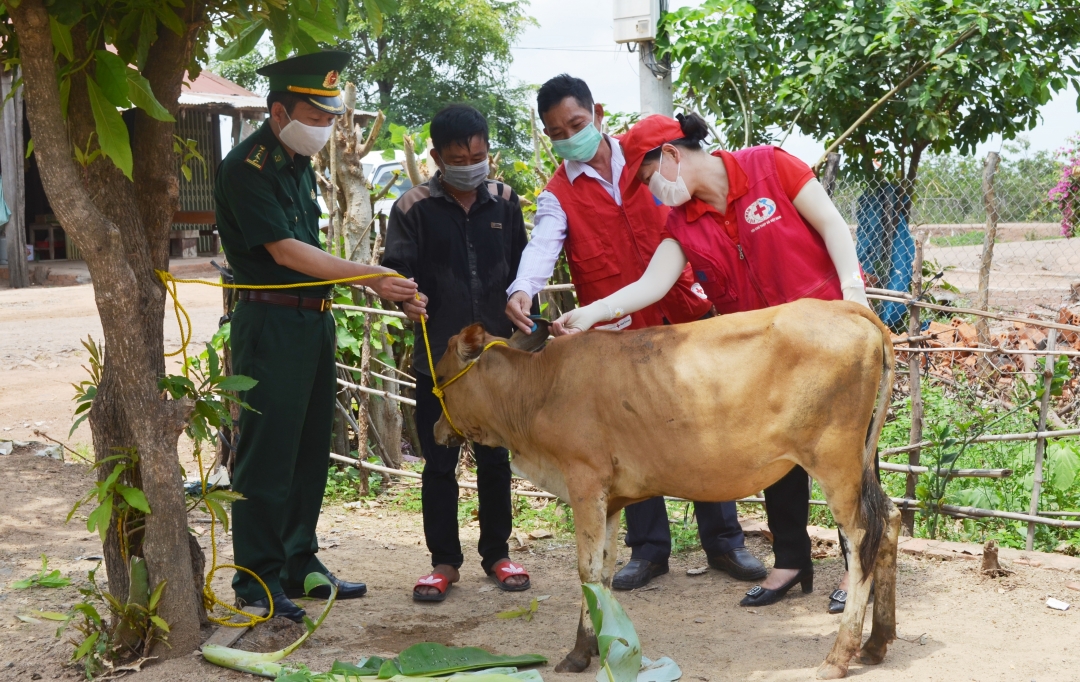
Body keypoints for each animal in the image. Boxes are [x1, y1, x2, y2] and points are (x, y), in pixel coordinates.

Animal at [432, 300, 902, 678]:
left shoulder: (584, 480)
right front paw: (595, 646)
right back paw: (876, 642)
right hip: (858, 462)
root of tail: (846, 308)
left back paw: (838, 657)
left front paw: (584, 653)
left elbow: (586, 572)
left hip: (834, 460)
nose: (435, 430)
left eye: (441, 374)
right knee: (890, 520)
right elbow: (603, 572)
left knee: (863, 536)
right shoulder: (610, 499)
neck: (538, 390)